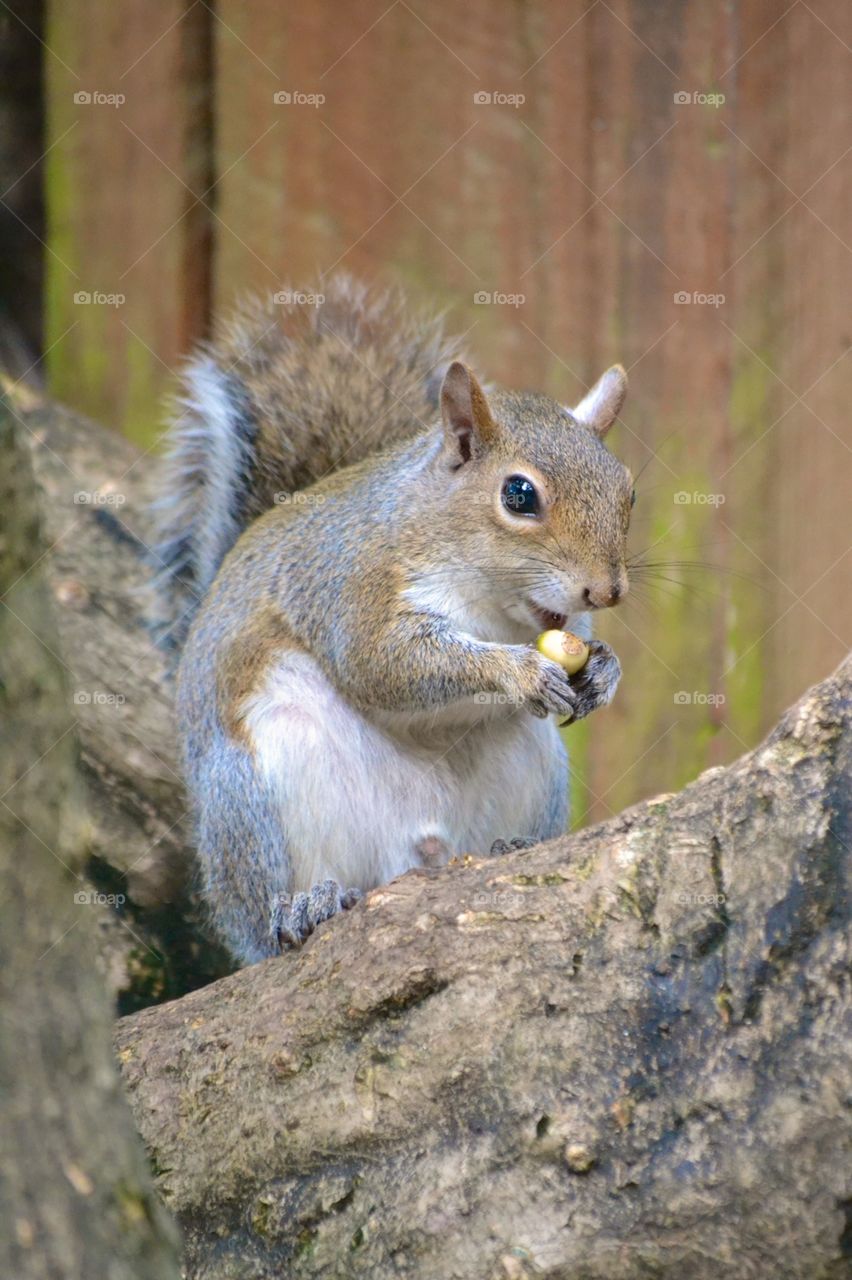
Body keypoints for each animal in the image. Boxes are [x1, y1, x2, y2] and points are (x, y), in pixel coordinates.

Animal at [152, 276, 633, 965]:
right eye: (519, 495)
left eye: (628, 491)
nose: (607, 590)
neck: (489, 601)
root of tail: (415, 855)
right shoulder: (355, 586)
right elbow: (386, 664)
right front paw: (516, 672)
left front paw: (605, 672)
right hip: (255, 798)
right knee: (265, 922)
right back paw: (304, 907)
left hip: (537, 771)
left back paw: (512, 848)